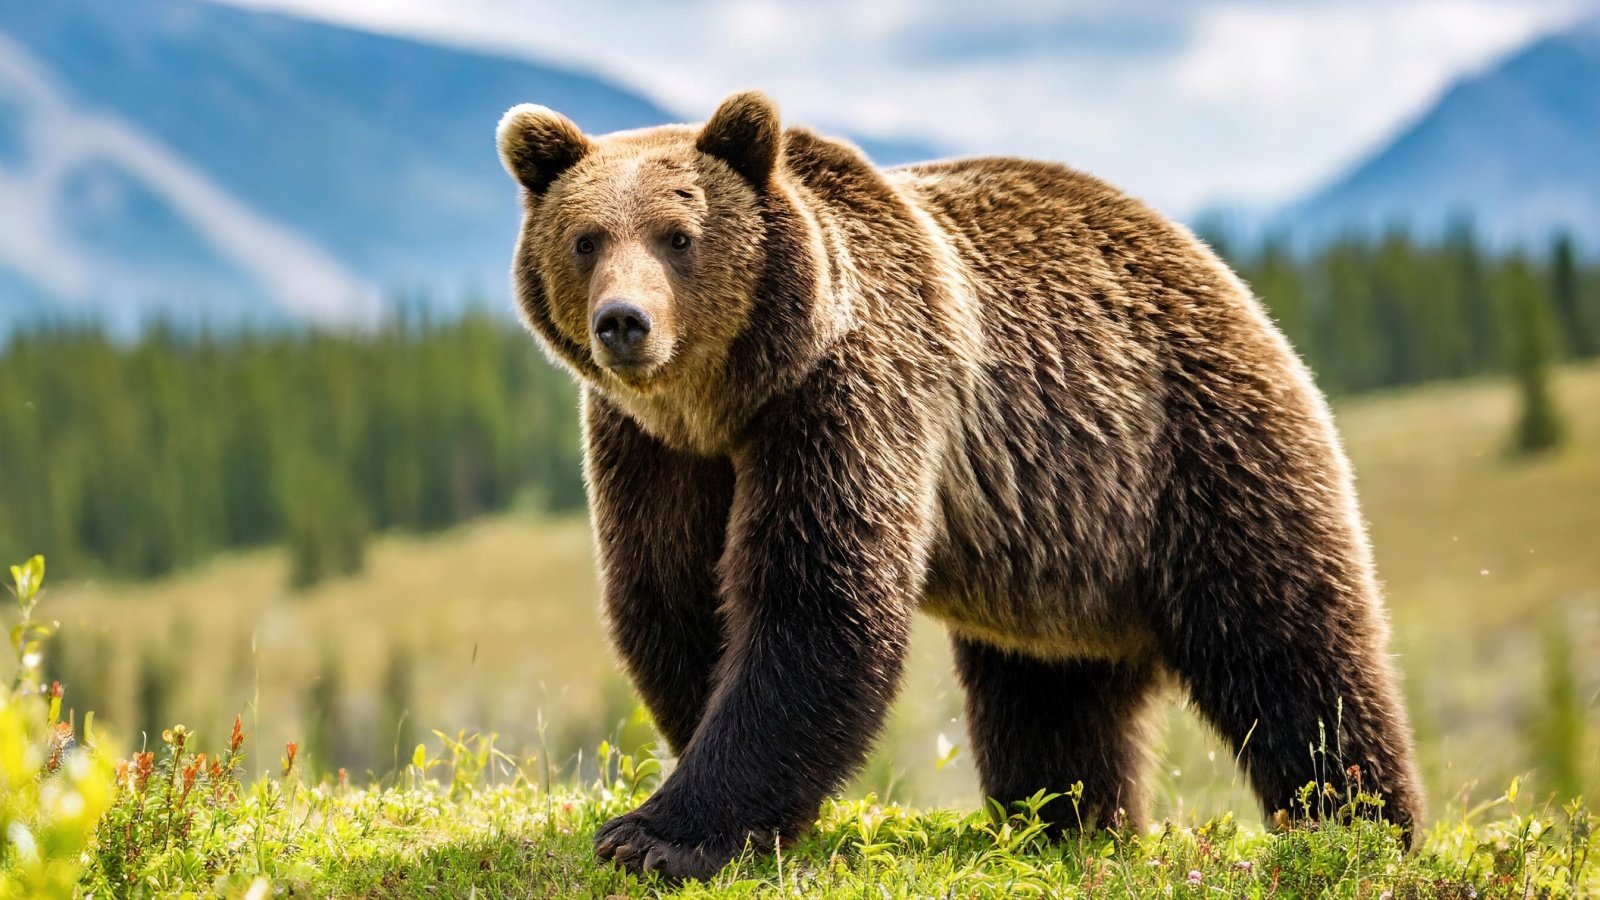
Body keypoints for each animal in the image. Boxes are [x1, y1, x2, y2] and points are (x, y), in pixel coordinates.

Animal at [492, 89, 1420, 877]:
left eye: (678, 234)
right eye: (586, 239)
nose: (624, 323)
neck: (728, 398)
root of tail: (1221, 272)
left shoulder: (852, 391)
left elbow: (817, 600)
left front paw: (655, 836)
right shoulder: (651, 447)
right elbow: (671, 595)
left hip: (1197, 453)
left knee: (1295, 654)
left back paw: (1363, 829)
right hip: (1062, 550)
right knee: (1050, 703)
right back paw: (1071, 825)